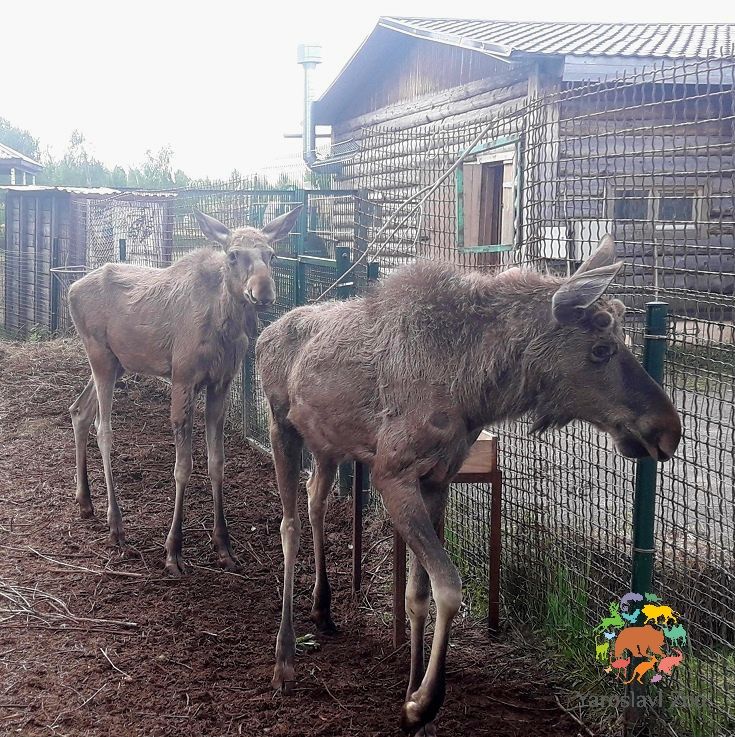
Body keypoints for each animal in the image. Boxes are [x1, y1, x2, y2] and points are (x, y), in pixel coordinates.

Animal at [67, 206, 302, 576]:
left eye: (271, 254)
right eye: (233, 255)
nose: (263, 292)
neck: (224, 326)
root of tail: (71, 289)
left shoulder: (221, 383)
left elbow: (217, 462)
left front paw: (224, 545)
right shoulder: (182, 379)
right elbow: (183, 467)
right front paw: (173, 549)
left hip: (117, 362)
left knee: (79, 411)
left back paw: (85, 501)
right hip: (99, 356)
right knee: (103, 429)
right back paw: (116, 525)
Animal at [256, 237, 680, 736]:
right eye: (600, 348)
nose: (668, 430)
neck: (474, 388)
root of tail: (264, 333)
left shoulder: (437, 479)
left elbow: (417, 595)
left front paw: (411, 695)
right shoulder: (392, 474)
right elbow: (448, 587)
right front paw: (423, 703)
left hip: (327, 446)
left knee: (315, 500)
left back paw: (323, 608)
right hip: (281, 425)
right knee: (288, 525)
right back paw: (284, 657)